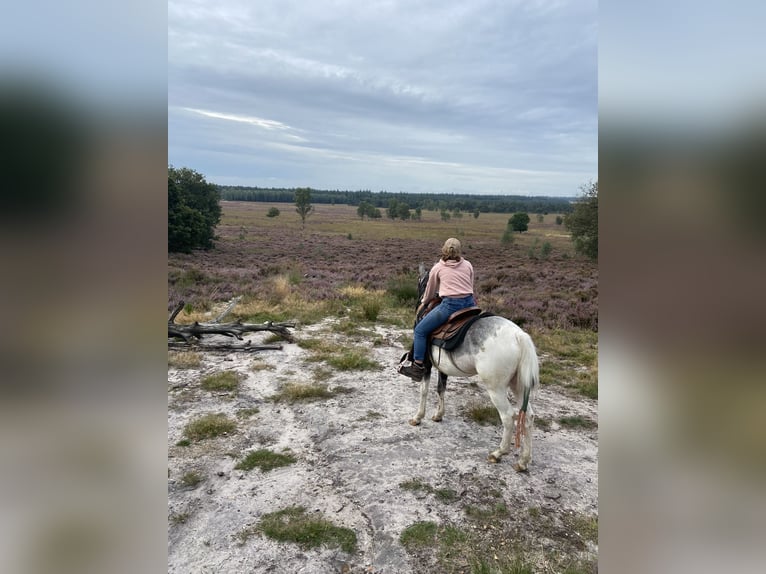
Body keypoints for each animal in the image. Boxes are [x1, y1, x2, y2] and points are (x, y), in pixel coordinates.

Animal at [408, 266, 540, 472]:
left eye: (421, 284)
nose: (420, 302)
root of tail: (519, 336)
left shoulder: (427, 365)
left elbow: (424, 391)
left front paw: (418, 417)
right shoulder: (442, 368)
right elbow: (441, 389)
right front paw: (438, 415)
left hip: (496, 388)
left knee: (508, 416)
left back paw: (498, 453)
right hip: (518, 385)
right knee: (528, 417)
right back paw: (523, 461)